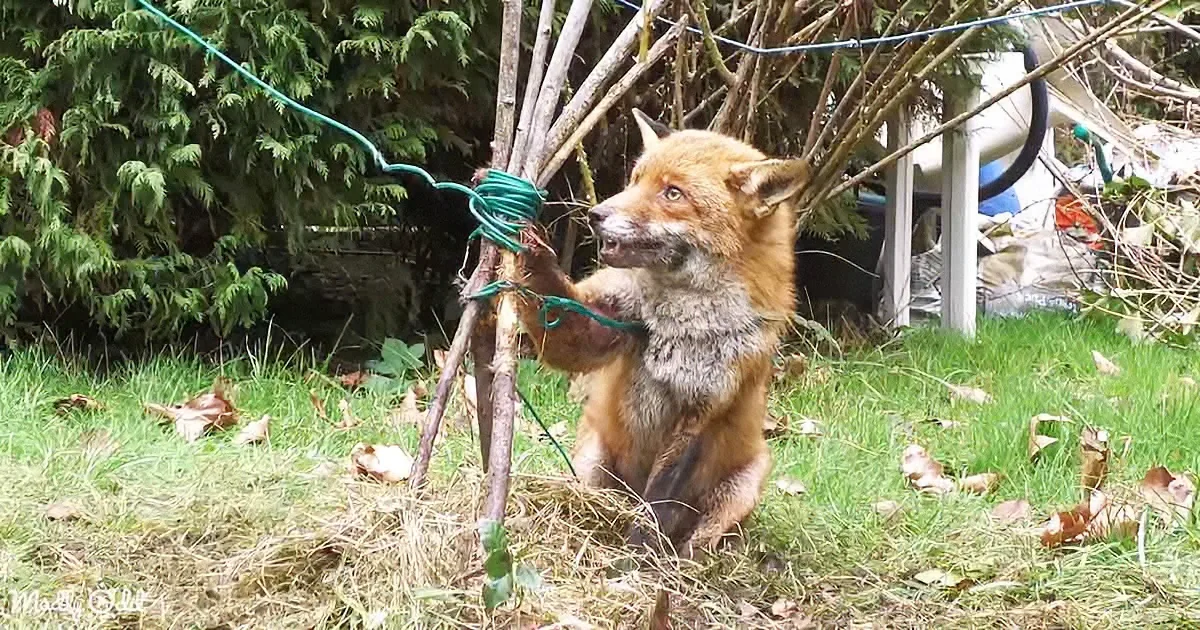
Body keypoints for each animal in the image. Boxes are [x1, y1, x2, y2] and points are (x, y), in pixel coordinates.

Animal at [514, 109, 809, 557]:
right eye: (635, 179)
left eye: (673, 193)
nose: (596, 215)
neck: (678, 323)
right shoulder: (605, 324)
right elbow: (562, 326)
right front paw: (526, 241)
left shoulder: (702, 413)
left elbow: (657, 506)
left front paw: (635, 560)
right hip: (592, 456)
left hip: (747, 481)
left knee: (702, 537)